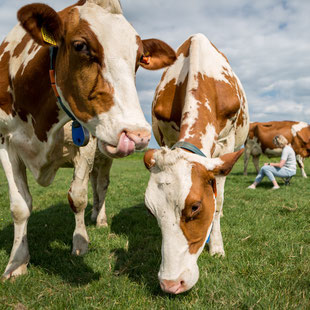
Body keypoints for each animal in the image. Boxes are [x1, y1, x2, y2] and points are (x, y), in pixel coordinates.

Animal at [0, 0, 176, 280]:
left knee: (101, 185)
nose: (137, 135)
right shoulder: (6, 142)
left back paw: (99, 218)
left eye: (140, 58)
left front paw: (80, 242)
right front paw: (17, 262)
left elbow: (77, 197)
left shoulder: (86, 145)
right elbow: (20, 206)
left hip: (104, 156)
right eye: (80, 46)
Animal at [143, 34, 249, 294]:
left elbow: (218, 203)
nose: (171, 284)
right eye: (150, 210)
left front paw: (217, 247)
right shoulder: (168, 137)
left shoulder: (226, 145)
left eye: (195, 207)